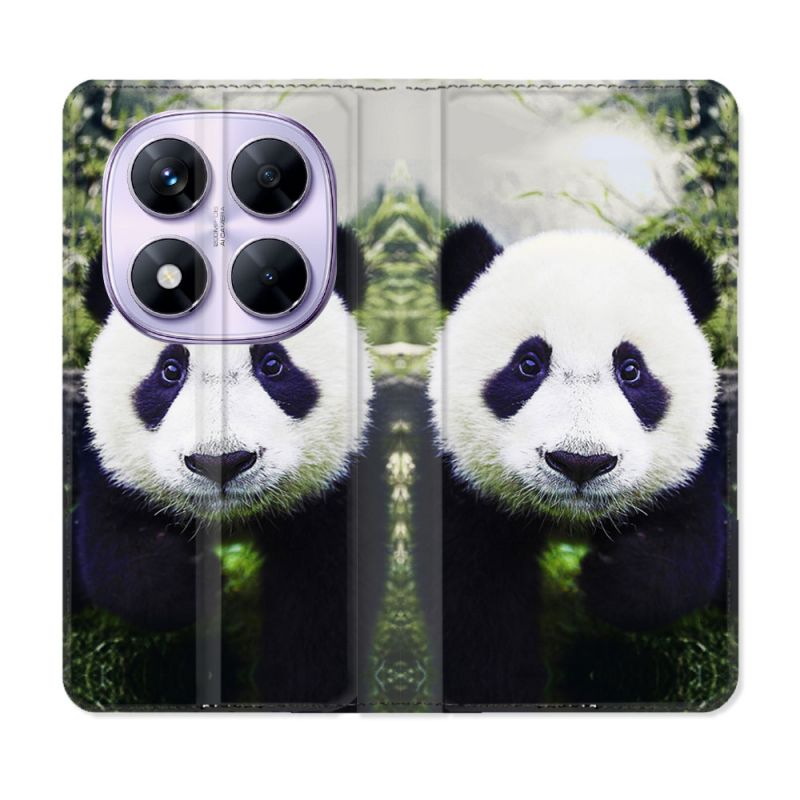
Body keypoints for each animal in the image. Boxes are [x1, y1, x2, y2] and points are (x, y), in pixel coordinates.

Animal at [72, 227, 372, 707]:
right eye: (170, 370)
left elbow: (321, 601)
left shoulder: (335, 492)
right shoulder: (109, 469)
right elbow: (117, 557)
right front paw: (195, 585)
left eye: (273, 364)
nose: (221, 463)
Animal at [428, 222, 728, 707]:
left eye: (631, 369)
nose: (580, 463)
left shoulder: (691, 466)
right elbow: (473, 605)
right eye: (528, 364)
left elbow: (688, 551)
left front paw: (609, 578)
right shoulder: (463, 489)